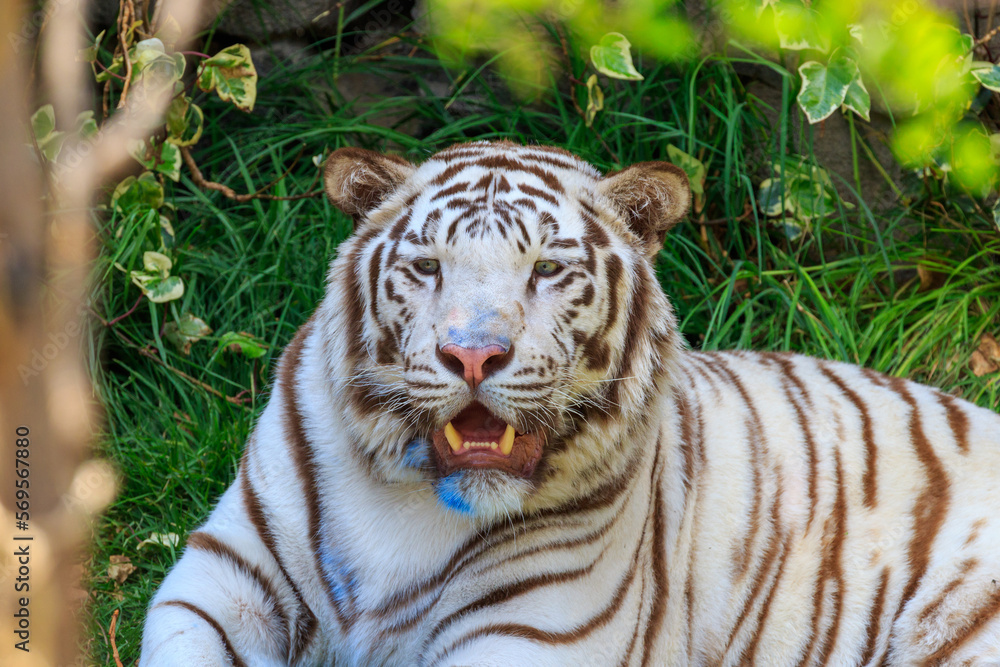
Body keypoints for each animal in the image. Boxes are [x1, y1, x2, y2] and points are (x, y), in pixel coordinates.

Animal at [139, 140, 1000, 666]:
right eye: (428, 266)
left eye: (547, 269)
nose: (473, 354)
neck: (411, 503)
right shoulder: (222, 580)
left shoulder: (529, 633)